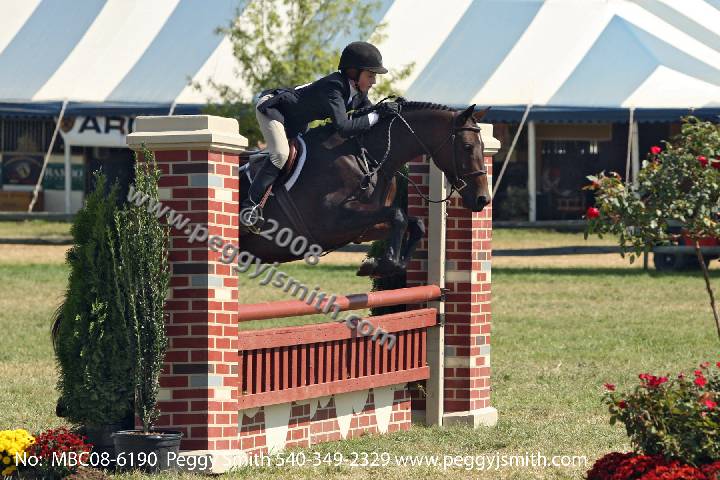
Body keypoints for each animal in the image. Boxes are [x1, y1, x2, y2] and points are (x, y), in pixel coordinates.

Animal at [240, 102, 491, 278]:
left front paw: (382, 265)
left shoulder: (364, 227)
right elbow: (398, 215)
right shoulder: (330, 223)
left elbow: (414, 223)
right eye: (467, 147)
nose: (483, 199)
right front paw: (385, 263)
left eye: (483, 147)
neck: (367, 157)